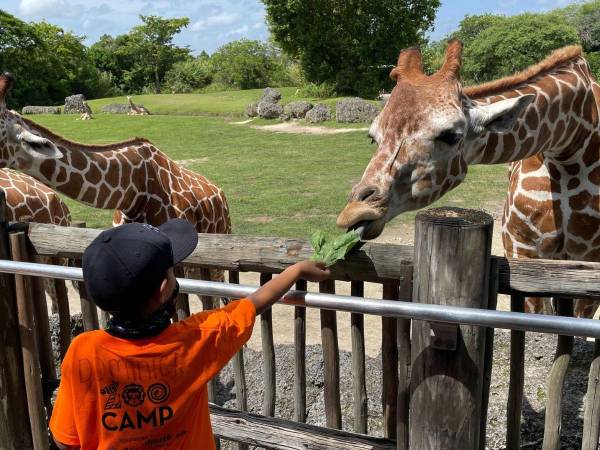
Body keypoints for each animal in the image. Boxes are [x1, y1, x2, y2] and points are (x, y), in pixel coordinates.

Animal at [340, 39, 600, 320]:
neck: (569, 145)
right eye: (372, 137)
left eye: (451, 135)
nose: (353, 213)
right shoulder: (523, 249)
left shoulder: (588, 264)